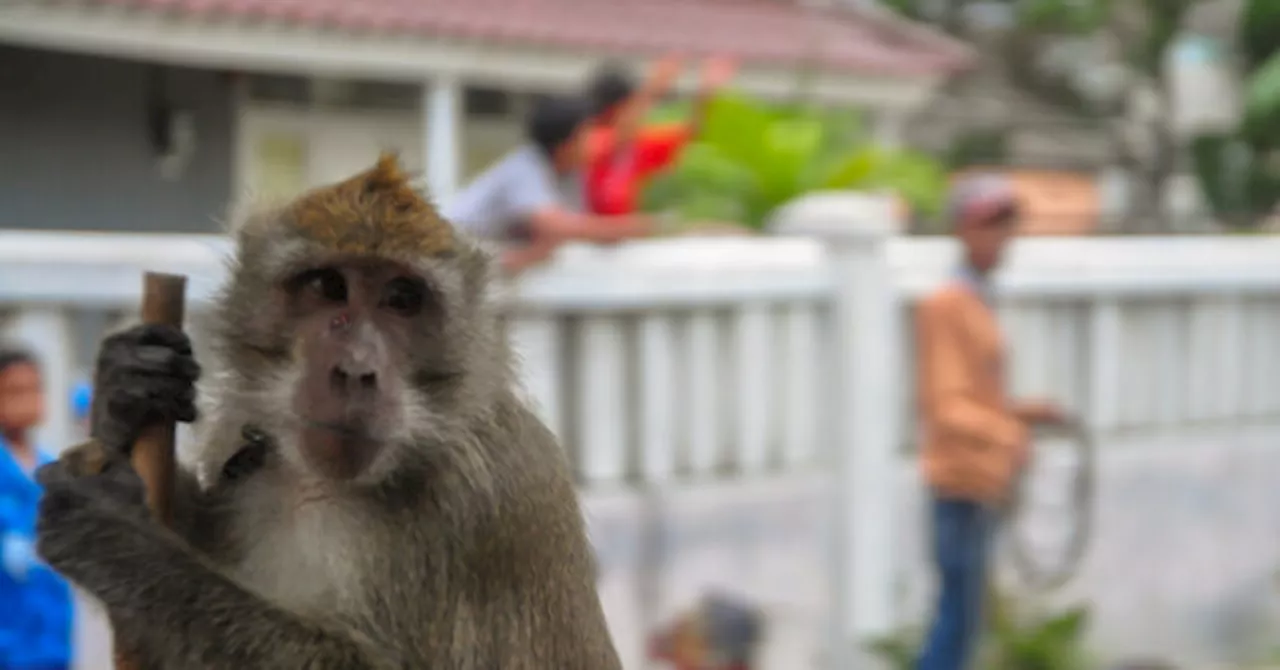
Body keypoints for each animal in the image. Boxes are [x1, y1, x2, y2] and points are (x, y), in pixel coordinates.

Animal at [35, 155, 624, 666]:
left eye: (402, 298)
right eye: (328, 286)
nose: (357, 369)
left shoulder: (482, 501)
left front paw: (121, 537)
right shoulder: (236, 436)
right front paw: (122, 398)